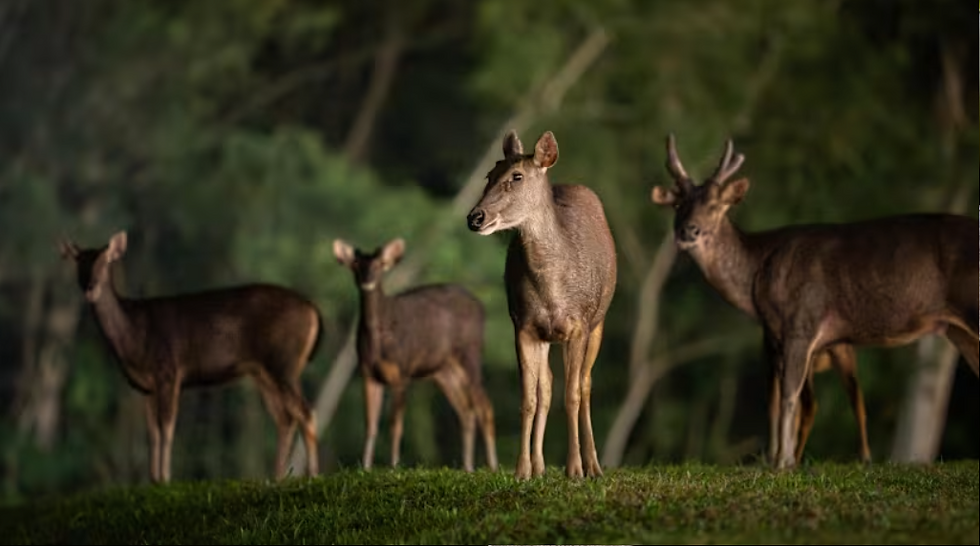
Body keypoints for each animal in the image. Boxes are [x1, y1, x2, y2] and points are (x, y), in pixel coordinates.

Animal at [59, 230, 322, 484]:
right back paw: (277, 477)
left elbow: (166, 427)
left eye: (104, 261)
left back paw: (313, 474)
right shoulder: (147, 388)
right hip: (264, 372)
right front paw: (153, 480)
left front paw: (165, 479)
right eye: (78, 261)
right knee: (286, 418)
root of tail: (313, 312)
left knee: (306, 412)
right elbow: (152, 432)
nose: (90, 287)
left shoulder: (169, 371)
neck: (134, 338)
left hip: (284, 363)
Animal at [332, 237, 498, 473]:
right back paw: (468, 467)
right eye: (355, 264)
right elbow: (371, 424)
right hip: (444, 371)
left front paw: (393, 466)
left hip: (471, 354)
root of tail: (482, 308)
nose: (367, 281)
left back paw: (492, 466)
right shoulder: (368, 373)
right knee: (466, 411)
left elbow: (395, 423)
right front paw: (365, 467)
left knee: (485, 406)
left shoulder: (402, 370)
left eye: (380, 264)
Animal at [466, 130, 618, 481]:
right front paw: (521, 470)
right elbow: (530, 397)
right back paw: (540, 466)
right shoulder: (523, 325)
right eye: (489, 174)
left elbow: (572, 395)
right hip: (548, 336)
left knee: (585, 384)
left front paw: (575, 469)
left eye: (517, 176)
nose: (475, 217)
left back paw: (593, 465)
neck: (552, 291)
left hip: (599, 321)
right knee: (546, 385)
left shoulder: (579, 325)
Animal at [650, 133, 979, 470]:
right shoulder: (776, 335)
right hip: (959, 330)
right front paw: (778, 460)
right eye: (678, 204)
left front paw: (783, 463)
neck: (758, 273)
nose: (688, 231)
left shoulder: (802, 321)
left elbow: (789, 397)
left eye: (717, 205)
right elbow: (778, 398)